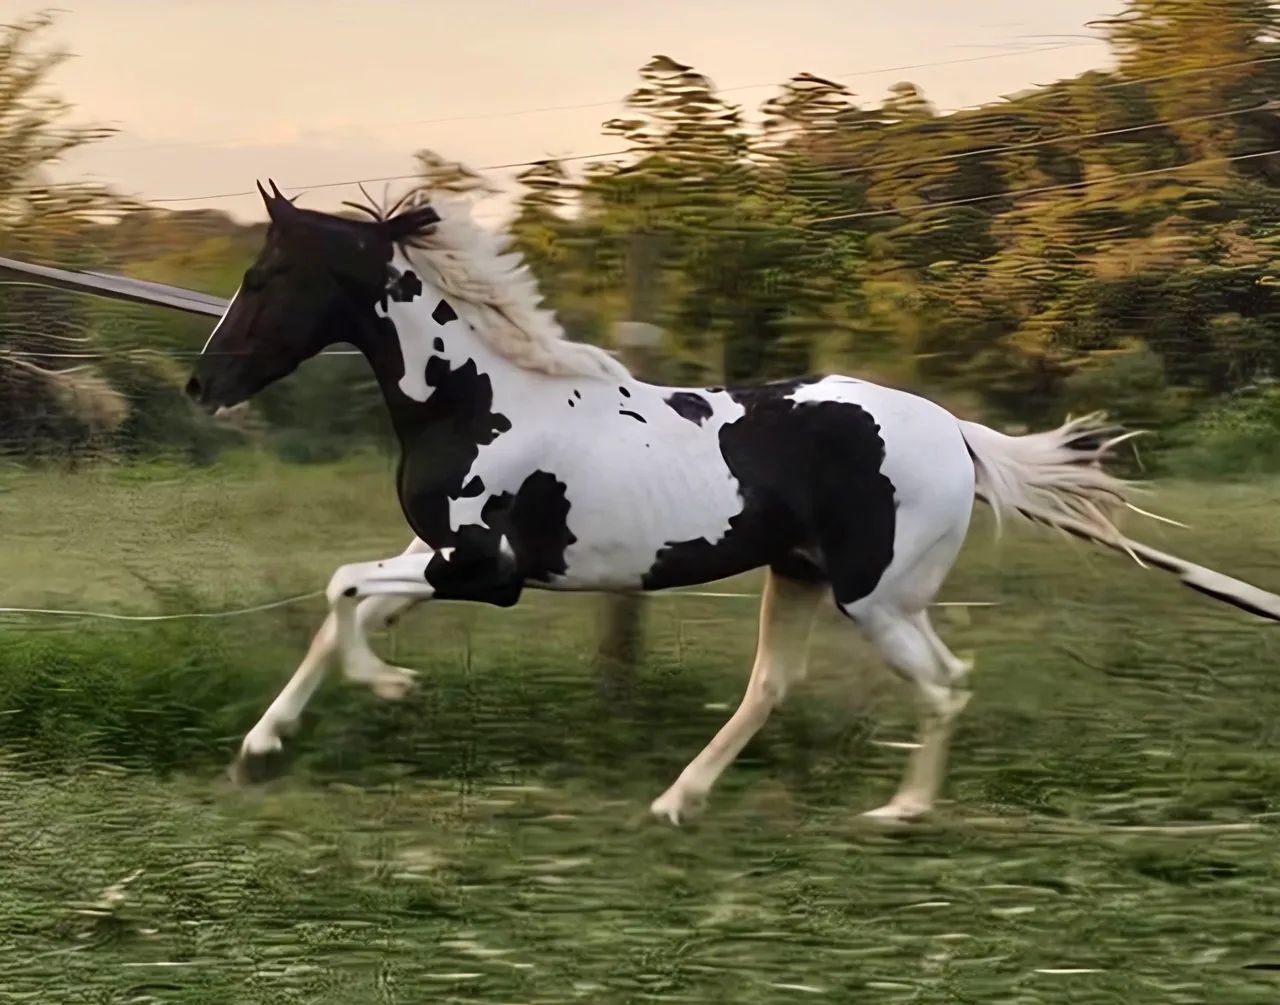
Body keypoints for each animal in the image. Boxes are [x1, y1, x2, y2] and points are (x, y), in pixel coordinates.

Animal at [185, 181, 1280, 824]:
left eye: (265, 275)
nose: (202, 385)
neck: (483, 397)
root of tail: (957, 435)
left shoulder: (484, 572)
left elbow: (343, 593)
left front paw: (389, 690)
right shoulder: (438, 558)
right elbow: (341, 600)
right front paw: (259, 749)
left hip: (876, 600)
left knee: (943, 683)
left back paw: (898, 814)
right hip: (803, 579)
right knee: (778, 686)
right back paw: (680, 801)